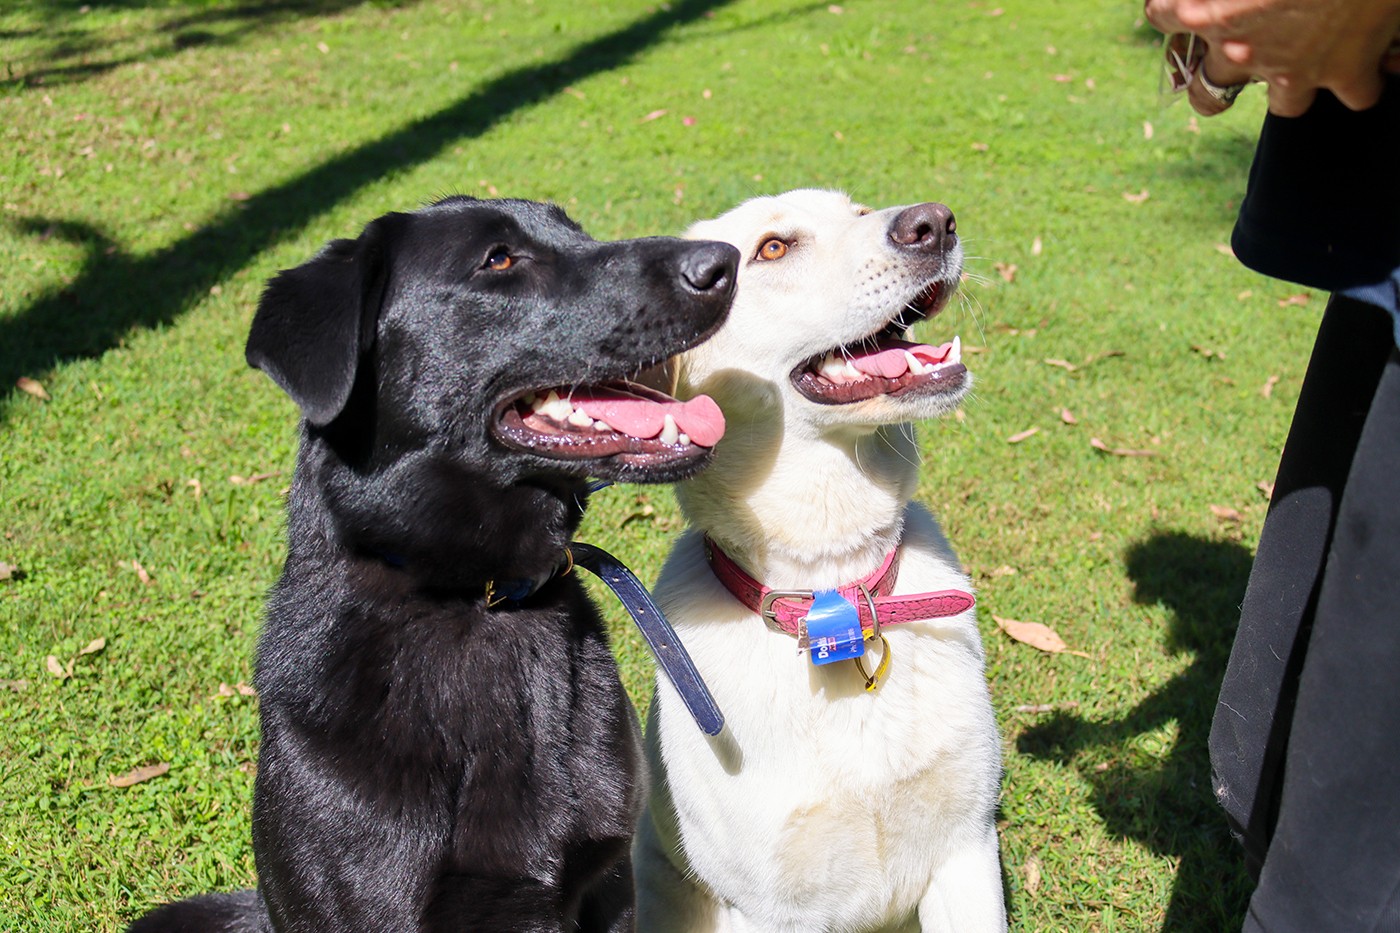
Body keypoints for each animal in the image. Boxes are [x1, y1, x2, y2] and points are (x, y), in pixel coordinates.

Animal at [635, 189, 1008, 930]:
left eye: (858, 210)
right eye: (773, 248)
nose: (934, 223)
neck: (835, 587)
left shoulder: (967, 849)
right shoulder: (773, 907)